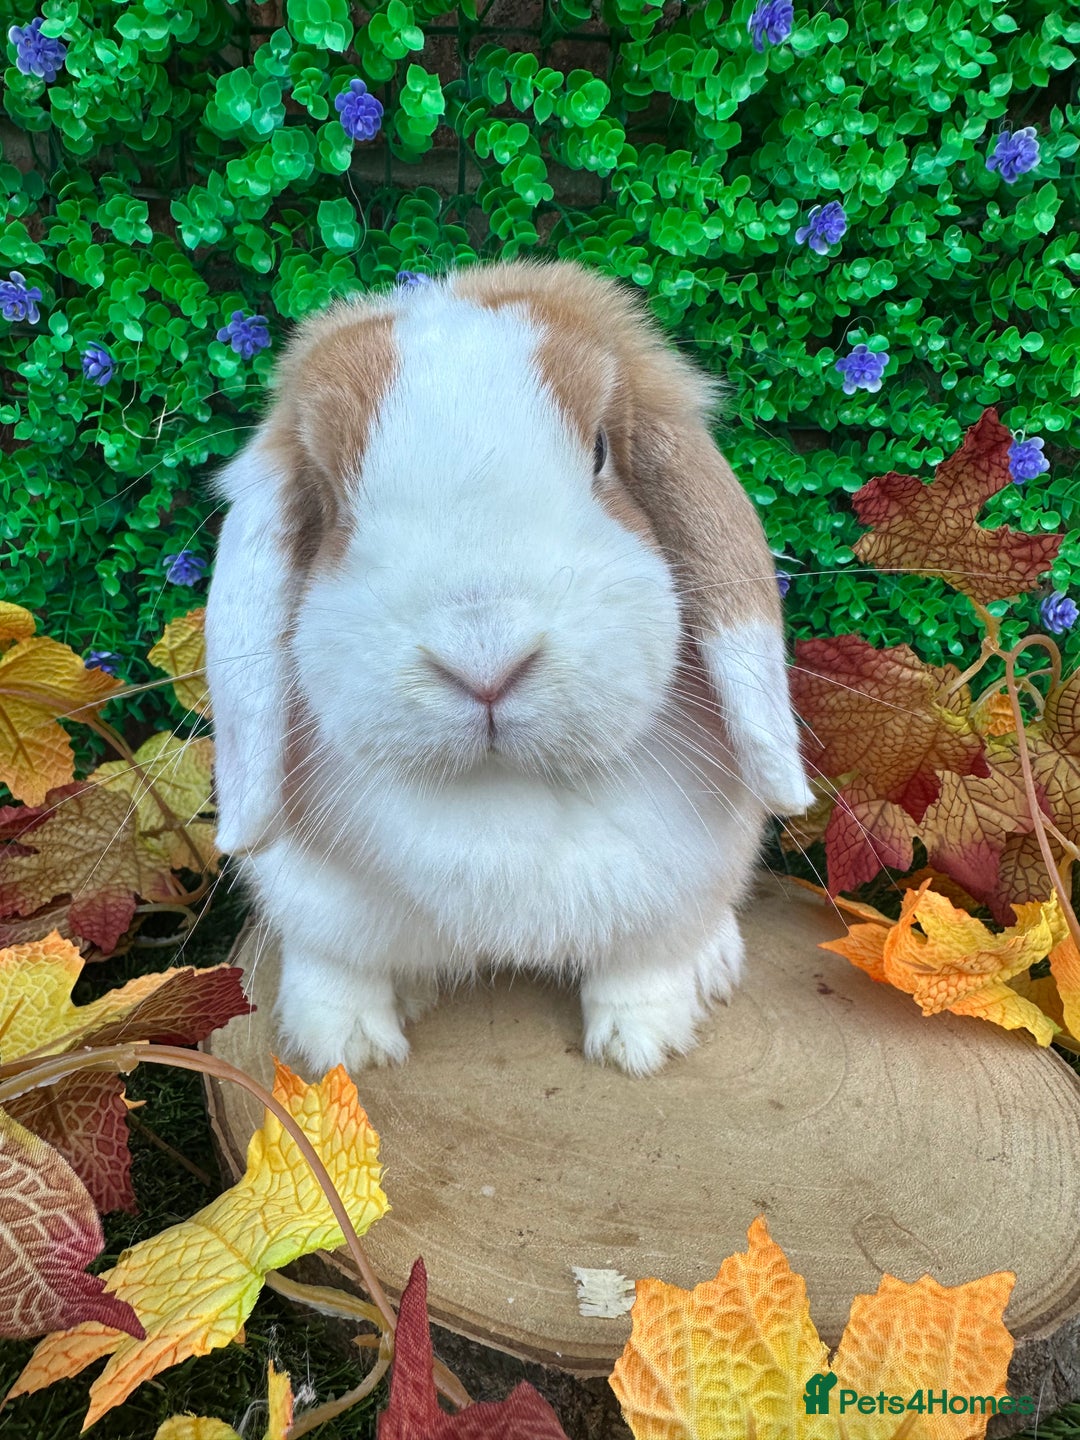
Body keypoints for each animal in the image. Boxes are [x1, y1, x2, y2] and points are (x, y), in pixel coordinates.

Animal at [204, 259, 812, 1078]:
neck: (501, 797)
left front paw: (639, 1045)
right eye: (329, 497)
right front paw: (346, 1049)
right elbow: (336, 971)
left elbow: (641, 966)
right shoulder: (316, 906)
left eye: (600, 451)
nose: (483, 658)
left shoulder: (671, 886)